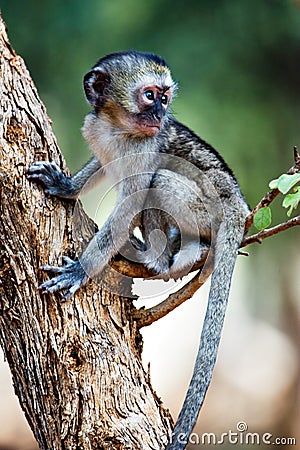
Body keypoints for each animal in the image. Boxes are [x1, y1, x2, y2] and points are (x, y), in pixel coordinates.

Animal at [27, 51, 248, 448]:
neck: (119, 130)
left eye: (165, 97)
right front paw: (67, 186)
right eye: (150, 96)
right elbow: (102, 164)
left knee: (159, 181)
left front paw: (80, 270)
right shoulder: (94, 128)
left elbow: (133, 198)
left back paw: (162, 258)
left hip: (205, 209)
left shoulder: (145, 148)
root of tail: (237, 203)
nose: (160, 114)